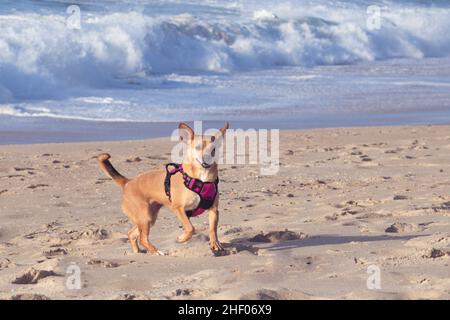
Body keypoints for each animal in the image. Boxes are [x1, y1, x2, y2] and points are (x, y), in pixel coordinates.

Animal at [96, 122, 227, 255]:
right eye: (198, 147)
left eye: (213, 150)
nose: (206, 158)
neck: (201, 179)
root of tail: (128, 182)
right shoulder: (179, 208)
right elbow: (190, 227)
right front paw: (182, 238)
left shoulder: (214, 210)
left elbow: (213, 229)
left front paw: (215, 243)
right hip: (145, 218)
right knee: (142, 238)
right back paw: (155, 251)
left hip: (148, 218)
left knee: (132, 234)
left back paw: (137, 252)